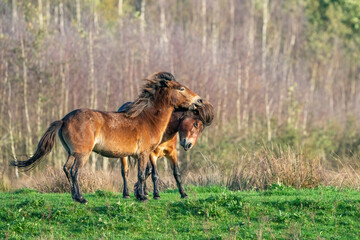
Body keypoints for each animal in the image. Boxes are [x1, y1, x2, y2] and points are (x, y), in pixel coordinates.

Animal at [11, 71, 202, 202]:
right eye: (181, 88)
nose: (199, 100)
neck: (147, 119)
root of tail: (64, 119)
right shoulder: (144, 154)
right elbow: (141, 174)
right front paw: (142, 197)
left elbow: (143, 174)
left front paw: (141, 194)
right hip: (82, 154)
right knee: (74, 171)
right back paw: (81, 198)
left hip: (72, 153)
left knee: (66, 169)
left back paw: (74, 196)